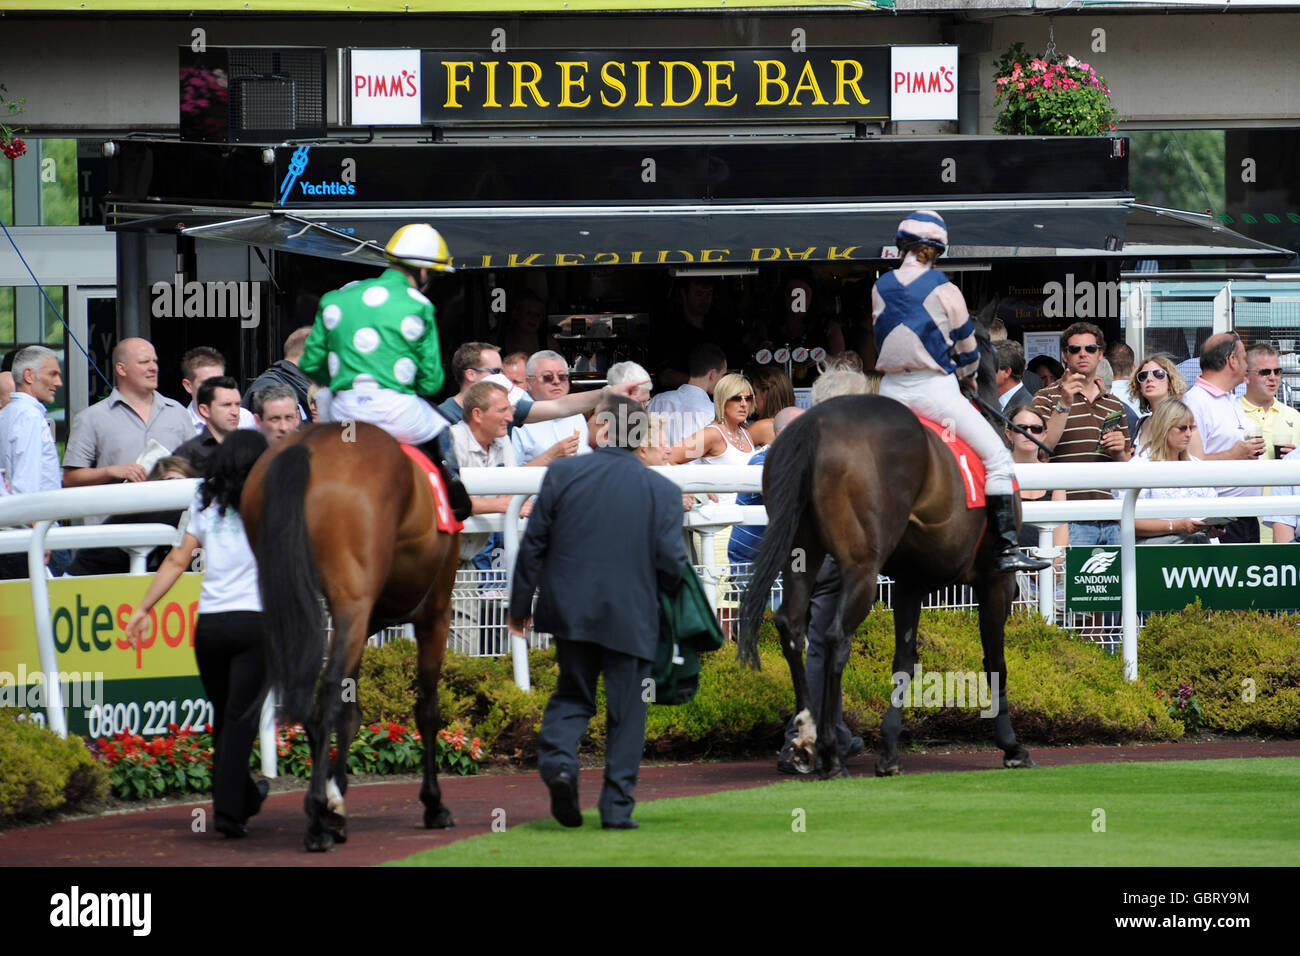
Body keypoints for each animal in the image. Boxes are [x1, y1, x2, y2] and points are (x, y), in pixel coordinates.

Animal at [241, 421, 460, 848]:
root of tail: (308, 446)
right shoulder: (434, 613)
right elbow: (427, 709)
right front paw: (434, 804)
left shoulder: (367, 617)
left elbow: (352, 710)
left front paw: (336, 797)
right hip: (352, 603)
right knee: (324, 694)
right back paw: (316, 822)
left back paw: (321, 810)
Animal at [743, 371, 1034, 780]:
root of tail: (815, 425)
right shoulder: (995, 581)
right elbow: (995, 662)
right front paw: (1011, 745)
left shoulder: (911, 584)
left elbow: (904, 662)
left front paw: (890, 751)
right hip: (861, 569)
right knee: (836, 637)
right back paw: (831, 753)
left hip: (802, 554)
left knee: (792, 626)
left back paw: (805, 738)